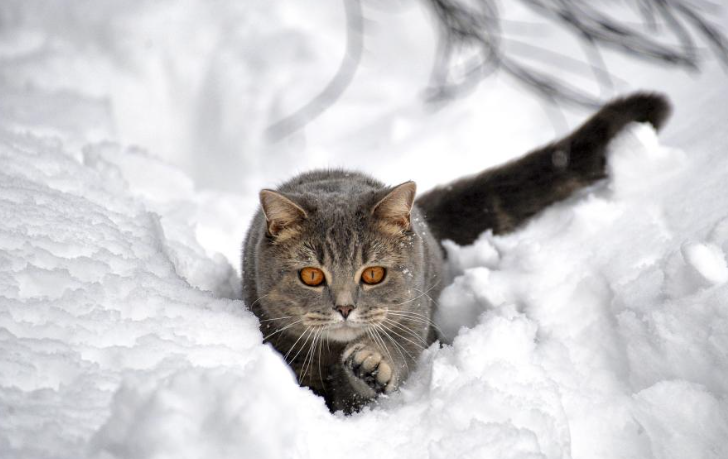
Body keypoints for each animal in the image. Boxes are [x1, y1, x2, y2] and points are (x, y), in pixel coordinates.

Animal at [243, 92, 672, 414]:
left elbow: (377, 376)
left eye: (373, 274)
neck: (333, 352)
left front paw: (370, 365)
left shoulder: (410, 322)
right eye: (312, 275)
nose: (345, 307)